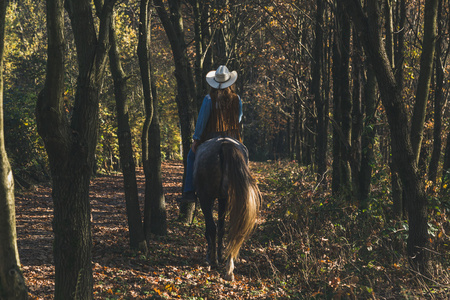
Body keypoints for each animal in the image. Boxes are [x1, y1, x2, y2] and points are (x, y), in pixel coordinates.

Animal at [192, 137, 262, 280]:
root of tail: (224, 143)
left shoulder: (207, 198)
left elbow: (211, 228)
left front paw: (211, 255)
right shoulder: (223, 199)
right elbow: (222, 228)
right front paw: (220, 255)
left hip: (205, 196)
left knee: (212, 227)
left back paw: (214, 261)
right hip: (233, 198)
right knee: (233, 228)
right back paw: (229, 268)